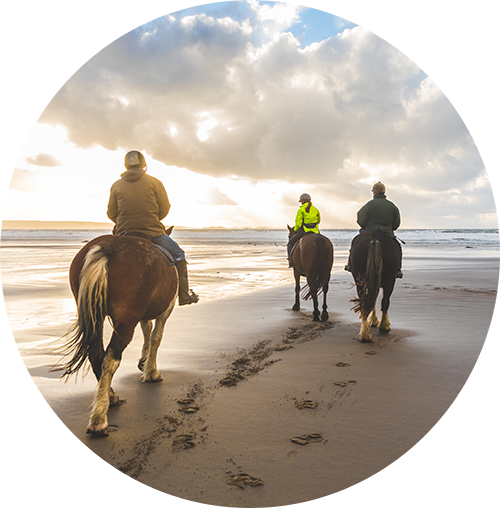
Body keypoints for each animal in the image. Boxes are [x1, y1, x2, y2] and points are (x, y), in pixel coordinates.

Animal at [52, 234, 177, 436]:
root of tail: (107, 247)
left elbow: (147, 329)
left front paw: (143, 362)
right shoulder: (165, 311)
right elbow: (155, 337)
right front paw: (151, 372)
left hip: (95, 317)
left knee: (96, 356)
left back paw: (110, 397)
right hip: (126, 320)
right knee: (111, 358)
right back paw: (99, 419)